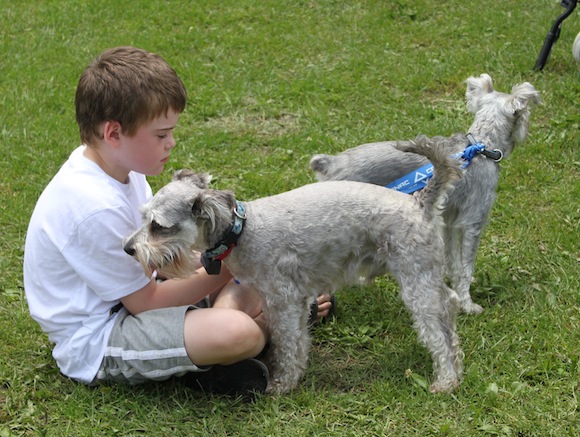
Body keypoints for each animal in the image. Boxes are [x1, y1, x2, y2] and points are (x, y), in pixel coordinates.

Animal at [123, 137, 464, 395]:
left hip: (415, 279)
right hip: (425, 275)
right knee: (449, 308)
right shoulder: (294, 302)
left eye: (158, 226)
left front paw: (281, 384)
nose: (128, 248)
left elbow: (286, 343)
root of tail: (420, 202)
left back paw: (446, 379)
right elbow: (297, 342)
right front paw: (293, 376)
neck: (243, 231)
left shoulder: (283, 301)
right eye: (144, 217)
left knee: (437, 331)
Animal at [310, 74, 541, 314]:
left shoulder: (449, 222)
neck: (480, 146)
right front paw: (468, 304)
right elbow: (466, 266)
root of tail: (330, 164)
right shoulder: (473, 222)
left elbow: (453, 261)